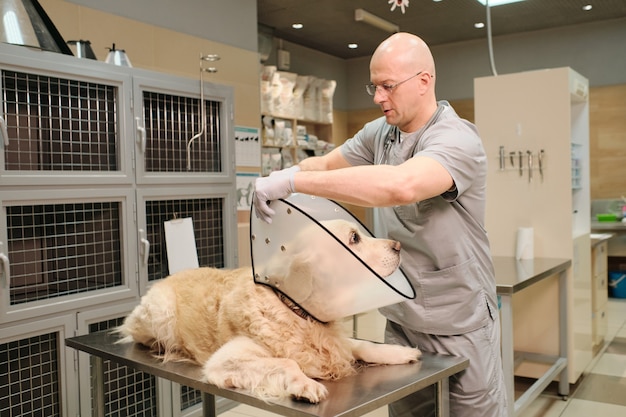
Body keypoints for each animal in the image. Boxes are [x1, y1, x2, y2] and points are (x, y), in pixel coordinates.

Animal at [117, 218, 420, 404]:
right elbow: (287, 362)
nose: (398, 246)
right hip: (161, 313)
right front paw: (305, 385)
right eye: (354, 238)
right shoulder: (223, 361)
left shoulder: (335, 344)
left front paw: (399, 352)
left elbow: (361, 345)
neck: (298, 314)